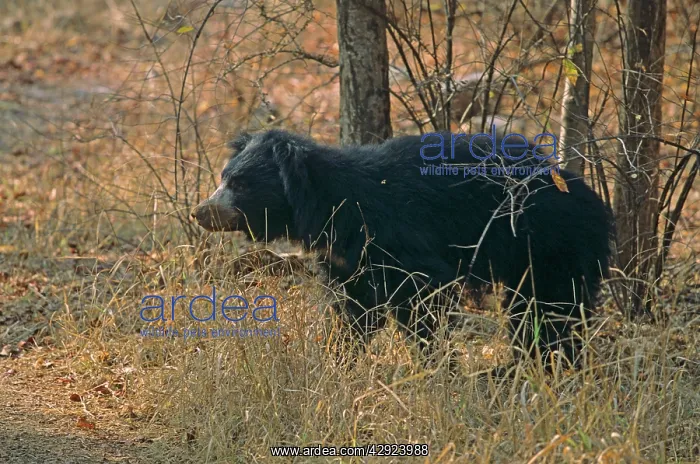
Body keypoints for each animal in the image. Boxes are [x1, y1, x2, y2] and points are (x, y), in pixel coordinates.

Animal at [191, 129, 613, 370]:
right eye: (223, 178)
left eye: (240, 184)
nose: (199, 212)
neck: (328, 208)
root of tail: (596, 202)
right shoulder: (349, 257)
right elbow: (356, 310)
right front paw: (337, 361)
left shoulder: (395, 236)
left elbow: (424, 296)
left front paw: (437, 367)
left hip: (550, 245)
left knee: (551, 310)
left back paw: (543, 368)